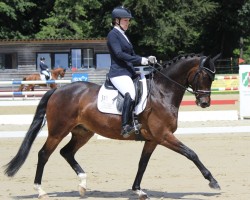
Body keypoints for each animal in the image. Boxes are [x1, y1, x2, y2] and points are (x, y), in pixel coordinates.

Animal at [4, 54, 221, 199]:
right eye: (204, 76)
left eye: (212, 77)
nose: (204, 103)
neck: (162, 91)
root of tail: (58, 90)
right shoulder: (164, 135)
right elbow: (191, 153)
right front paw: (213, 181)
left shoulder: (152, 139)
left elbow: (142, 164)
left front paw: (138, 190)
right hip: (58, 131)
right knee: (43, 154)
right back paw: (41, 190)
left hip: (83, 132)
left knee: (67, 152)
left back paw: (83, 184)